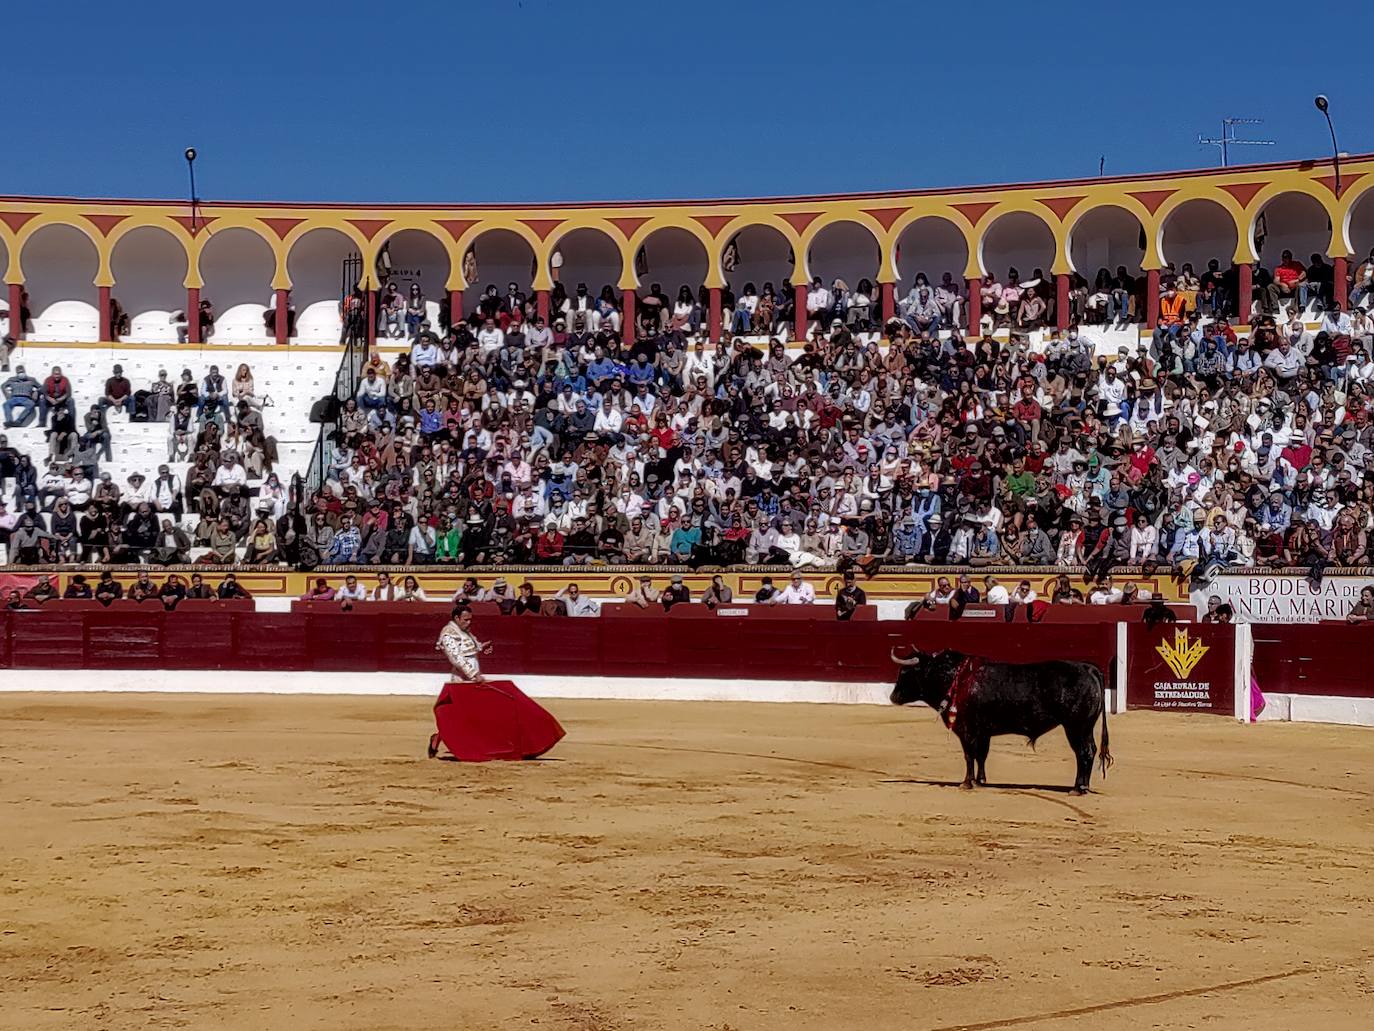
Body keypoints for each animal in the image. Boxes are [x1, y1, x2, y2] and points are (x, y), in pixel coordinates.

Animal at [890, 648, 1115, 797]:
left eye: (906, 673)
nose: (893, 697)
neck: (955, 678)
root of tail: (1089, 668)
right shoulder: (982, 732)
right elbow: (981, 755)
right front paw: (980, 781)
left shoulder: (966, 730)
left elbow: (969, 755)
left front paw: (966, 783)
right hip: (1085, 727)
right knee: (1090, 751)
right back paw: (1083, 786)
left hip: (1075, 726)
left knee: (1083, 752)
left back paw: (1077, 788)